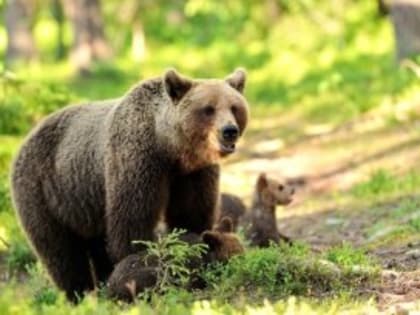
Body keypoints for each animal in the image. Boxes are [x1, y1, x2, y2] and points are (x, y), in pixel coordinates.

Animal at [9, 69, 248, 302]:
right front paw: (136, 260)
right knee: (61, 251)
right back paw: (78, 293)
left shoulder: (193, 173)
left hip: (86, 204)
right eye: (208, 109)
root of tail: (27, 137)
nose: (229, 130)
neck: (170, 149)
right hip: (44, 189)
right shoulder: (136, 160)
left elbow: (191, 213)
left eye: (234, 107)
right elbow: (132, 221)